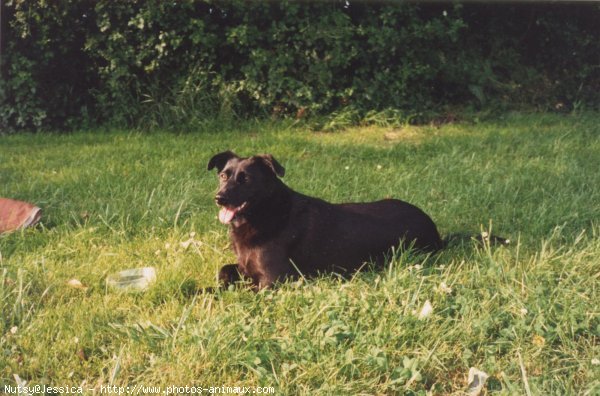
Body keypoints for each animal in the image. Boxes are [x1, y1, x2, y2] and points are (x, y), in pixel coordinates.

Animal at [207, 150, 446, 290]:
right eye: (223, 176)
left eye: (246, 179)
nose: (219, 198)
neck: (266, 212)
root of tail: (435, 229)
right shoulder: (245, 268)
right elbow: (224, 270)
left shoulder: (272, 281)